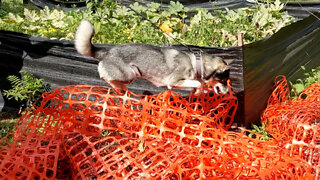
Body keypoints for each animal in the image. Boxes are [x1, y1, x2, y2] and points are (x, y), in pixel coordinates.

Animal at [75, 20, 232, 94]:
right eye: (224, 80)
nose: (226, 92)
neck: (197, 63)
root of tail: (107, 52)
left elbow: (198, 84)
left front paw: (198, 92)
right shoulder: (173, 82)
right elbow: (198, 83)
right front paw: (199, 89)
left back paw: (121, 89)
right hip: (130, 74)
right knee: (105, 76)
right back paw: (118, 86)